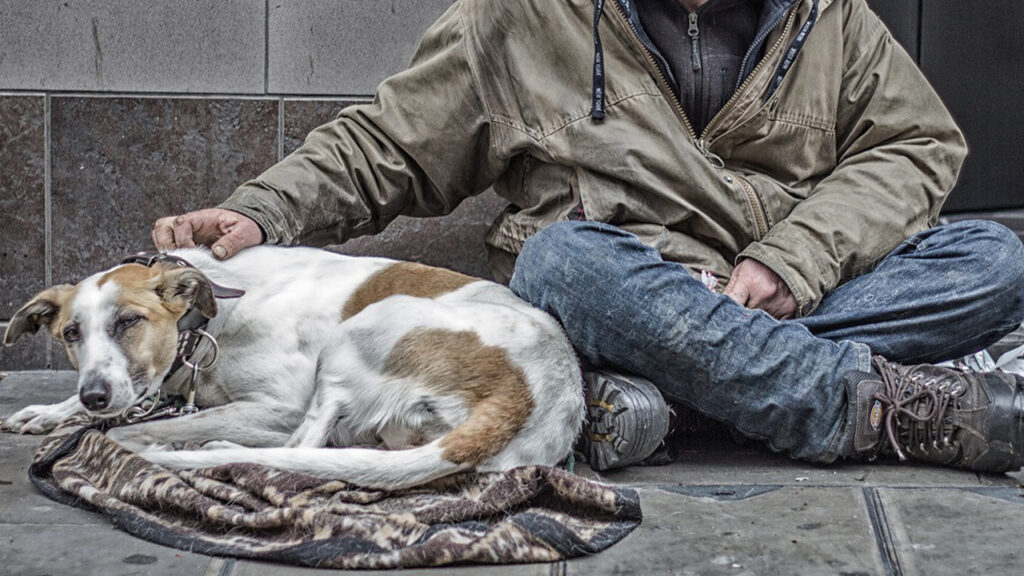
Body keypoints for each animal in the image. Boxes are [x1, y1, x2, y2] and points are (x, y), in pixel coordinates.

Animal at [4, 247, 585, 487]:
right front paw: (51, 411)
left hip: (359, 335)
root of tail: (531, 394)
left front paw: (119, 435)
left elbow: (160, 423)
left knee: (300, 449)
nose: (95, 397)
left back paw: (216, 450)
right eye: (71, 334)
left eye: (129, 321)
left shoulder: (279, 405)